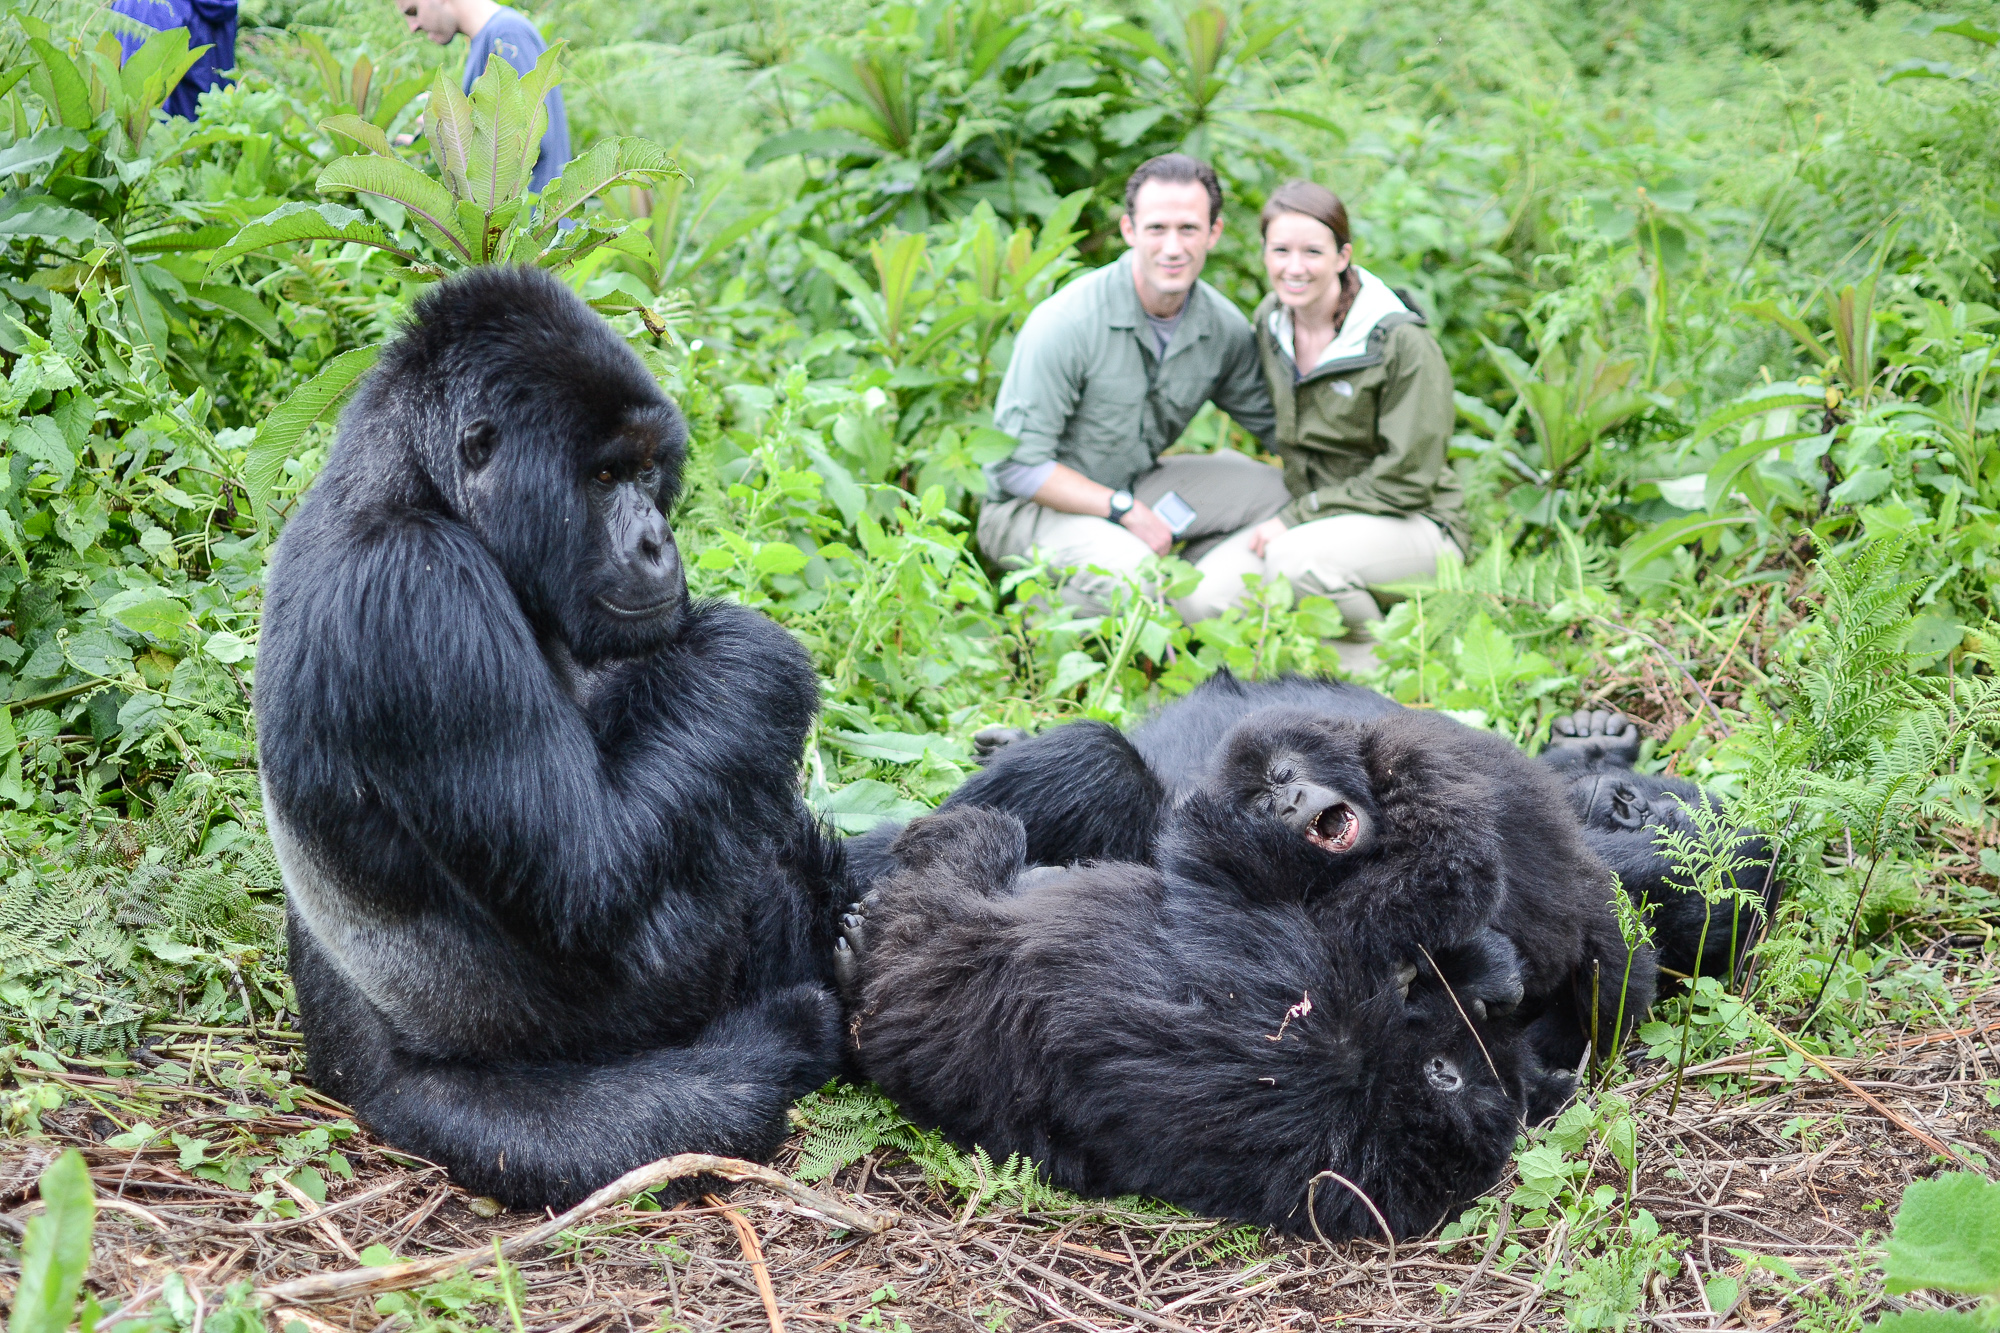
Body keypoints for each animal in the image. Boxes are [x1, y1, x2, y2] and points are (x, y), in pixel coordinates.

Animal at [254, 264, 840, 1208]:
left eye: (646, 469)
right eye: (603, 476)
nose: (658, 541)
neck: (408, 476)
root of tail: (369, 1071)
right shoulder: (419, 590)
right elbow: (588, 876)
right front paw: (755, 654)